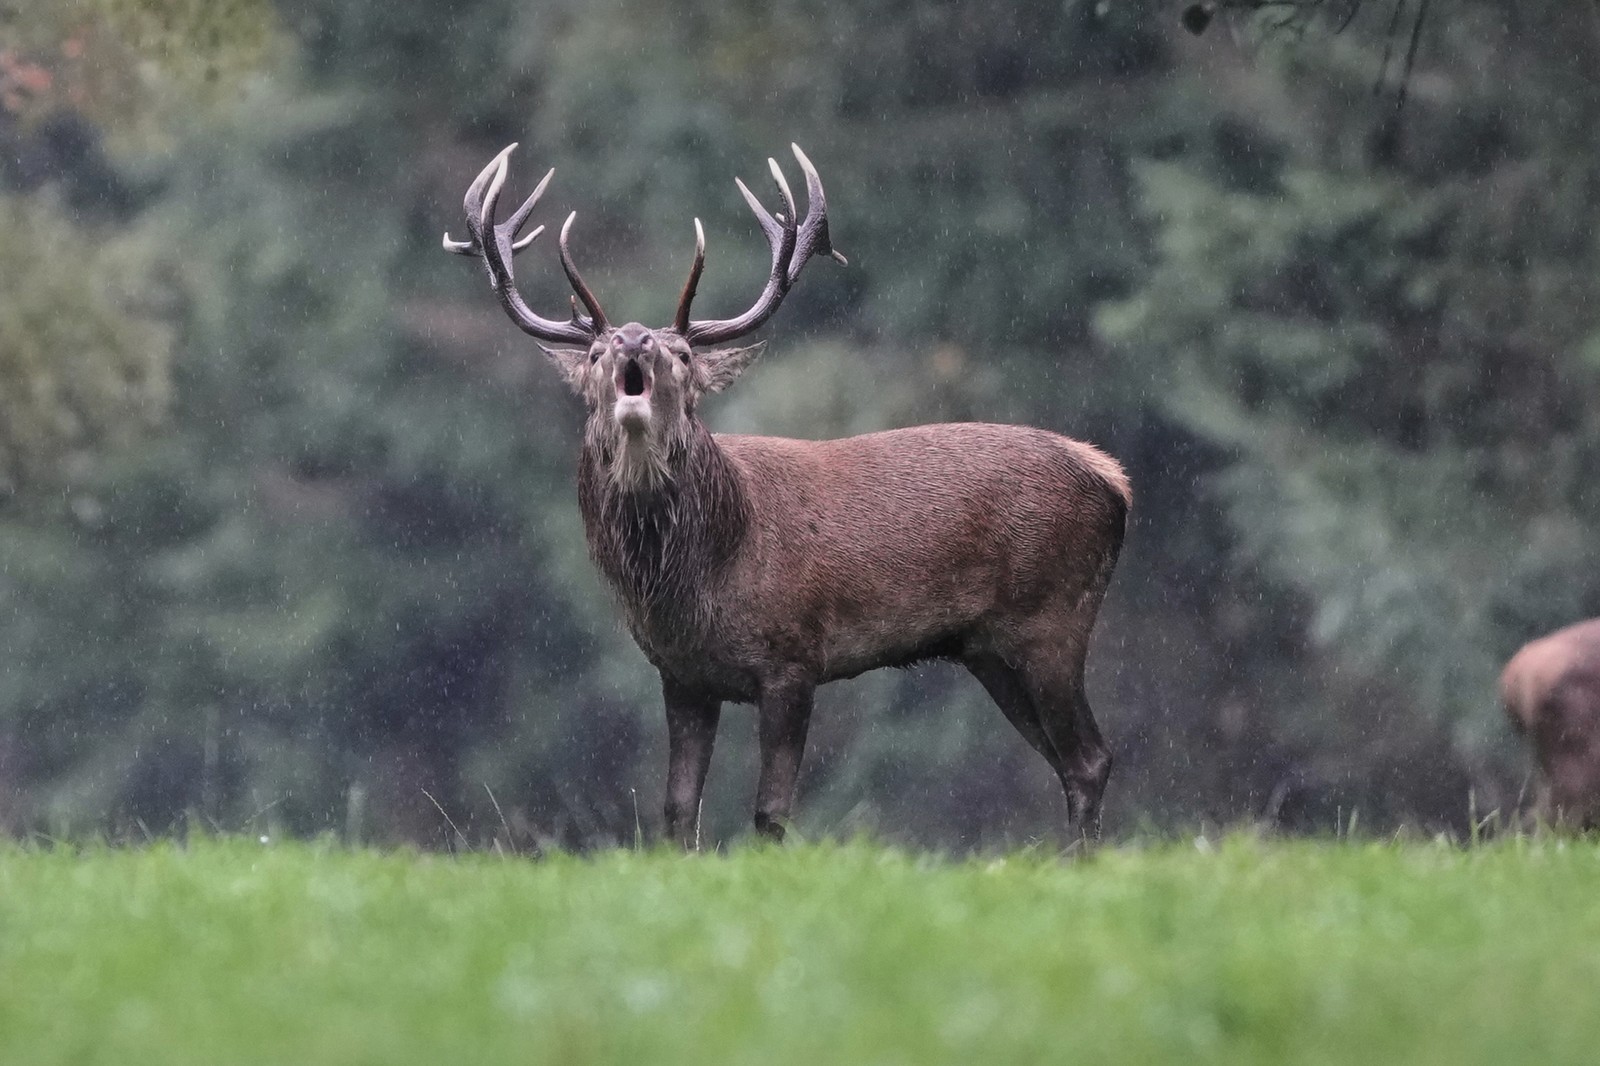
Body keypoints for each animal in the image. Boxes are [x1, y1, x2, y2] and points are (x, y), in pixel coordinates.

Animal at [444, 142, 1130, 848]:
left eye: (683, 354)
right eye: (594, 355)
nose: (635, 338)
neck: (702, 579)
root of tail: (1113, 479)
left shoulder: (794, 658)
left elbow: (771, 811)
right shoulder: (682, 675)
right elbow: (677, 810)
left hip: (1054, 616)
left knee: (1089, 758)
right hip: (990, 650)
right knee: (1066, 758)